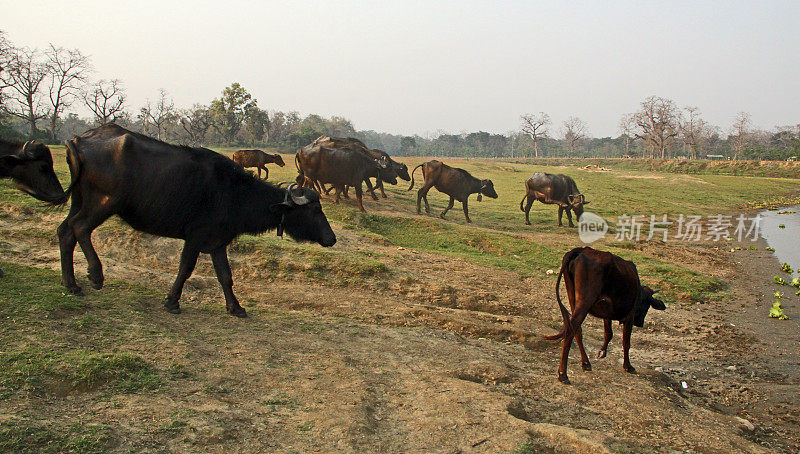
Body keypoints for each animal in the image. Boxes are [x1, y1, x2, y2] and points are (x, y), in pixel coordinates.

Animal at [544, 248, 668, 384]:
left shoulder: (607, 313)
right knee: (570, 332)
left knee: (576, 330)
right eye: (647, 304)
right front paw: (628, 366)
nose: (640, 323)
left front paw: (602, 352)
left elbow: (608, 333)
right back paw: (563, 374)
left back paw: (586, 363)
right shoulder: (629, 316)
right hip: (585, 301)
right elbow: (626, 342)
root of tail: (583, 249)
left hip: (573, 298)